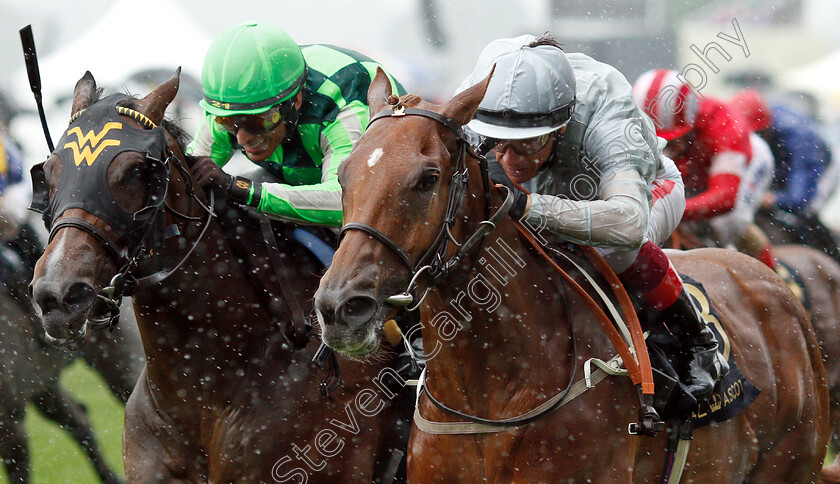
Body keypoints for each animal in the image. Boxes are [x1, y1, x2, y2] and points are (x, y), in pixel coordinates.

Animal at [316, 70, 832, 482]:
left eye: (427, 179)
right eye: (342, 175)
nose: (340, 306)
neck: (490, 397)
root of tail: (777, 289)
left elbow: (626, 217)